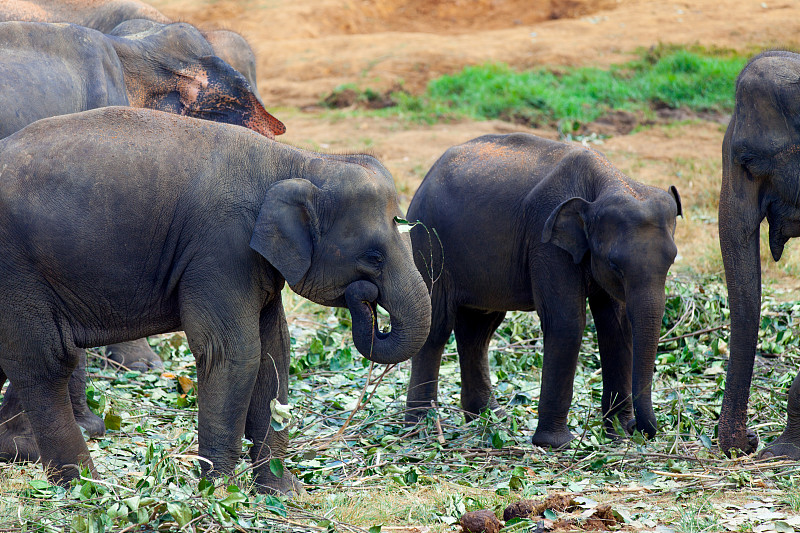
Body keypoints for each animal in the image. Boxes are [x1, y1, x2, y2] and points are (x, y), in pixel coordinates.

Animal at [0, 106, 432, 492]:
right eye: (374, 257)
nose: (367, 298)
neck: (295, 160)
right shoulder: (221, 248)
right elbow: (235, 352)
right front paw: (218, 493)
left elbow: (275, 353)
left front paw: (283, 492)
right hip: (17, 271)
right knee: (45, 362)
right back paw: (86, 487)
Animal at [406, 132, 680, 444]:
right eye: (615, 264)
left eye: (672, 260)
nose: (641, 430)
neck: (607, 182)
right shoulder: (545, 240)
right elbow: (566, 322)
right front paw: (556, 443)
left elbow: (616, 325)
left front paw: (619, 434)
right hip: (428, 243)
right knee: (436, 327)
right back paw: (421, 427)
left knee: (477, 331)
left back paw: (491, 419)